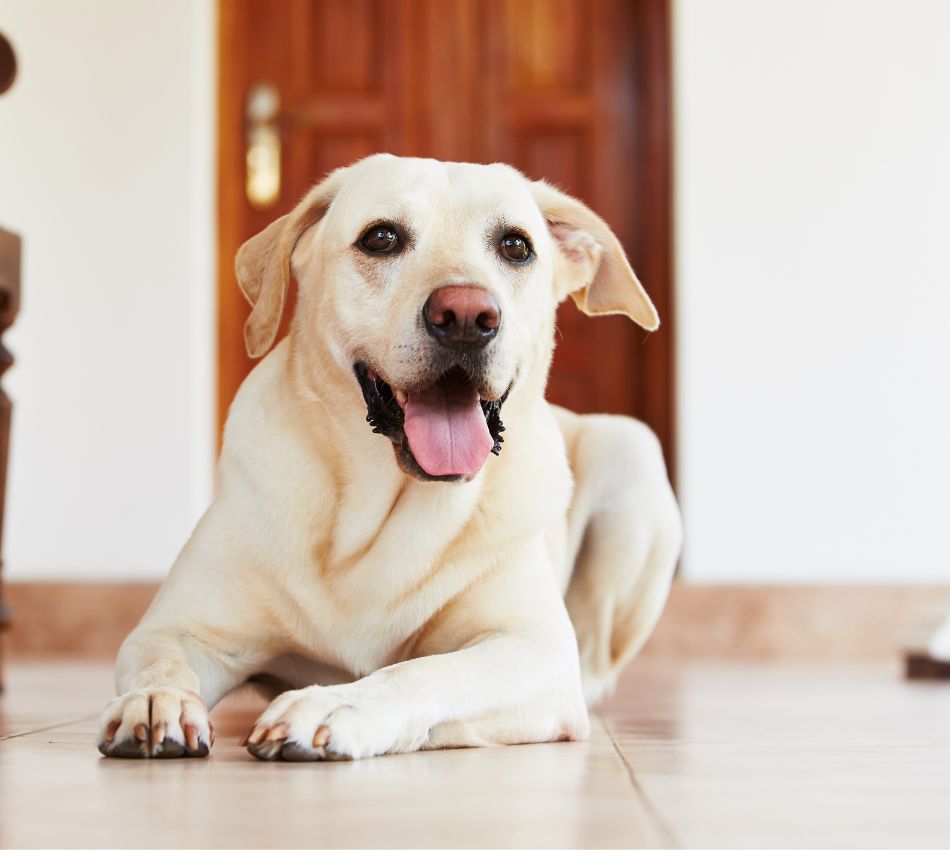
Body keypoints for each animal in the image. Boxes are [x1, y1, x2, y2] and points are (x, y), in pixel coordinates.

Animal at [98, 156, 684, 760]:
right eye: (381, 238)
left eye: (516, 246)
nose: (467, 315)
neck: (376, 511)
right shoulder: (174, 629)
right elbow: (161, 663)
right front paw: (155, 702)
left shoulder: (534, 648)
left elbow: (427, 671)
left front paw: (333, 706)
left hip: (632, 452)